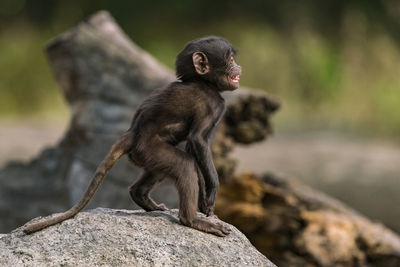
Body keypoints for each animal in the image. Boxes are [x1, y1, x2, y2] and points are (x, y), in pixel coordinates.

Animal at [25, 36, 244, 238]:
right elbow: (197, 140)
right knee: (184, 164)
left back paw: (143, 198)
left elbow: (193, 146)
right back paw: (191, 220)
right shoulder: (213, 104)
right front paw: (212, 190)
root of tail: (132, 132)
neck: (201, 81)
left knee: (162, 170)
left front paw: (205, 205)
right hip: (148, 149)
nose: (239, 67)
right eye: (231, 59)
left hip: (146, 155)